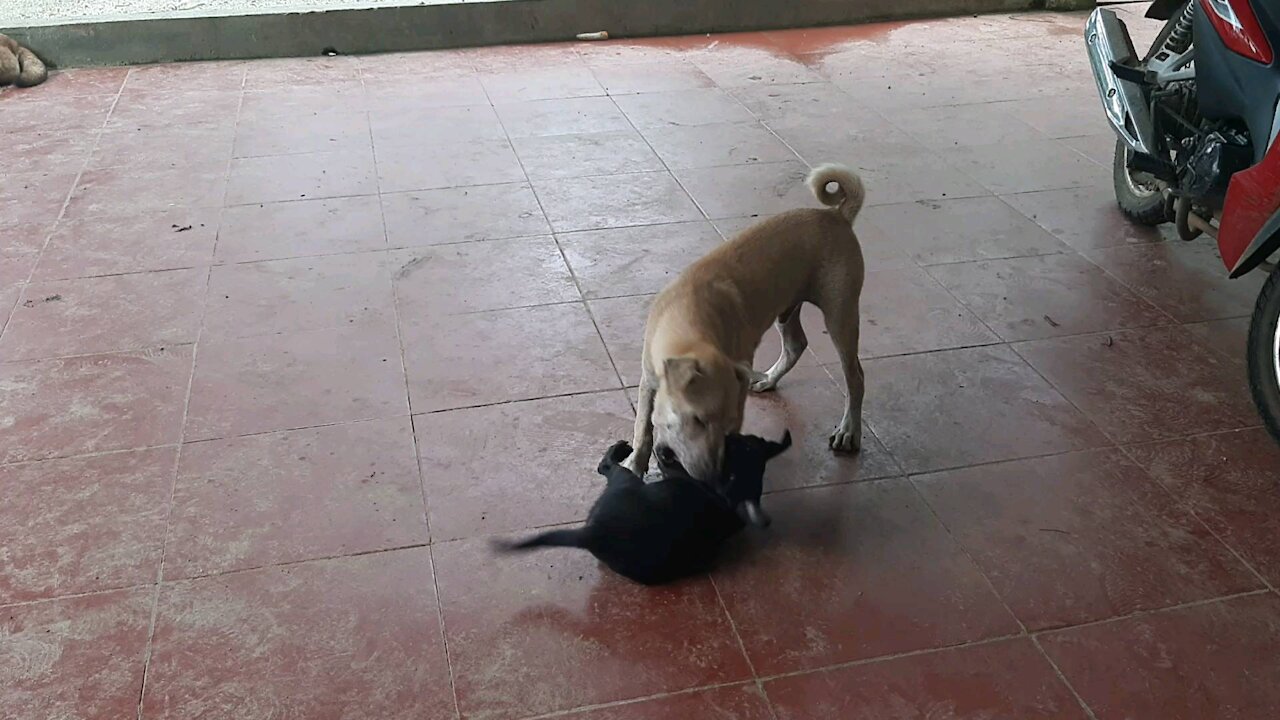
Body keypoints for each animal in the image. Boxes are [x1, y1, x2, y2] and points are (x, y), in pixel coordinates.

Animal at [491, 430, 783, 584]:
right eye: (747, 440)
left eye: (734, 444)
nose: (729, 434)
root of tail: (592, 534)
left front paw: (665, 452)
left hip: (624, 480)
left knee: (606, 467)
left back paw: (619, 450)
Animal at [629, 161, 870, 476]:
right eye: (697, 420)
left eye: (729, 428)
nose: (713, 475)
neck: (689, 316)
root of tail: (836, 215)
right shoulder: (648, 380)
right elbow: (642, 426)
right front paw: (635, 462)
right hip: (788, 310)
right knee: (796, 345)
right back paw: (769, 379)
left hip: (840, 313)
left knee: (855, 376)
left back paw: (849, 430)